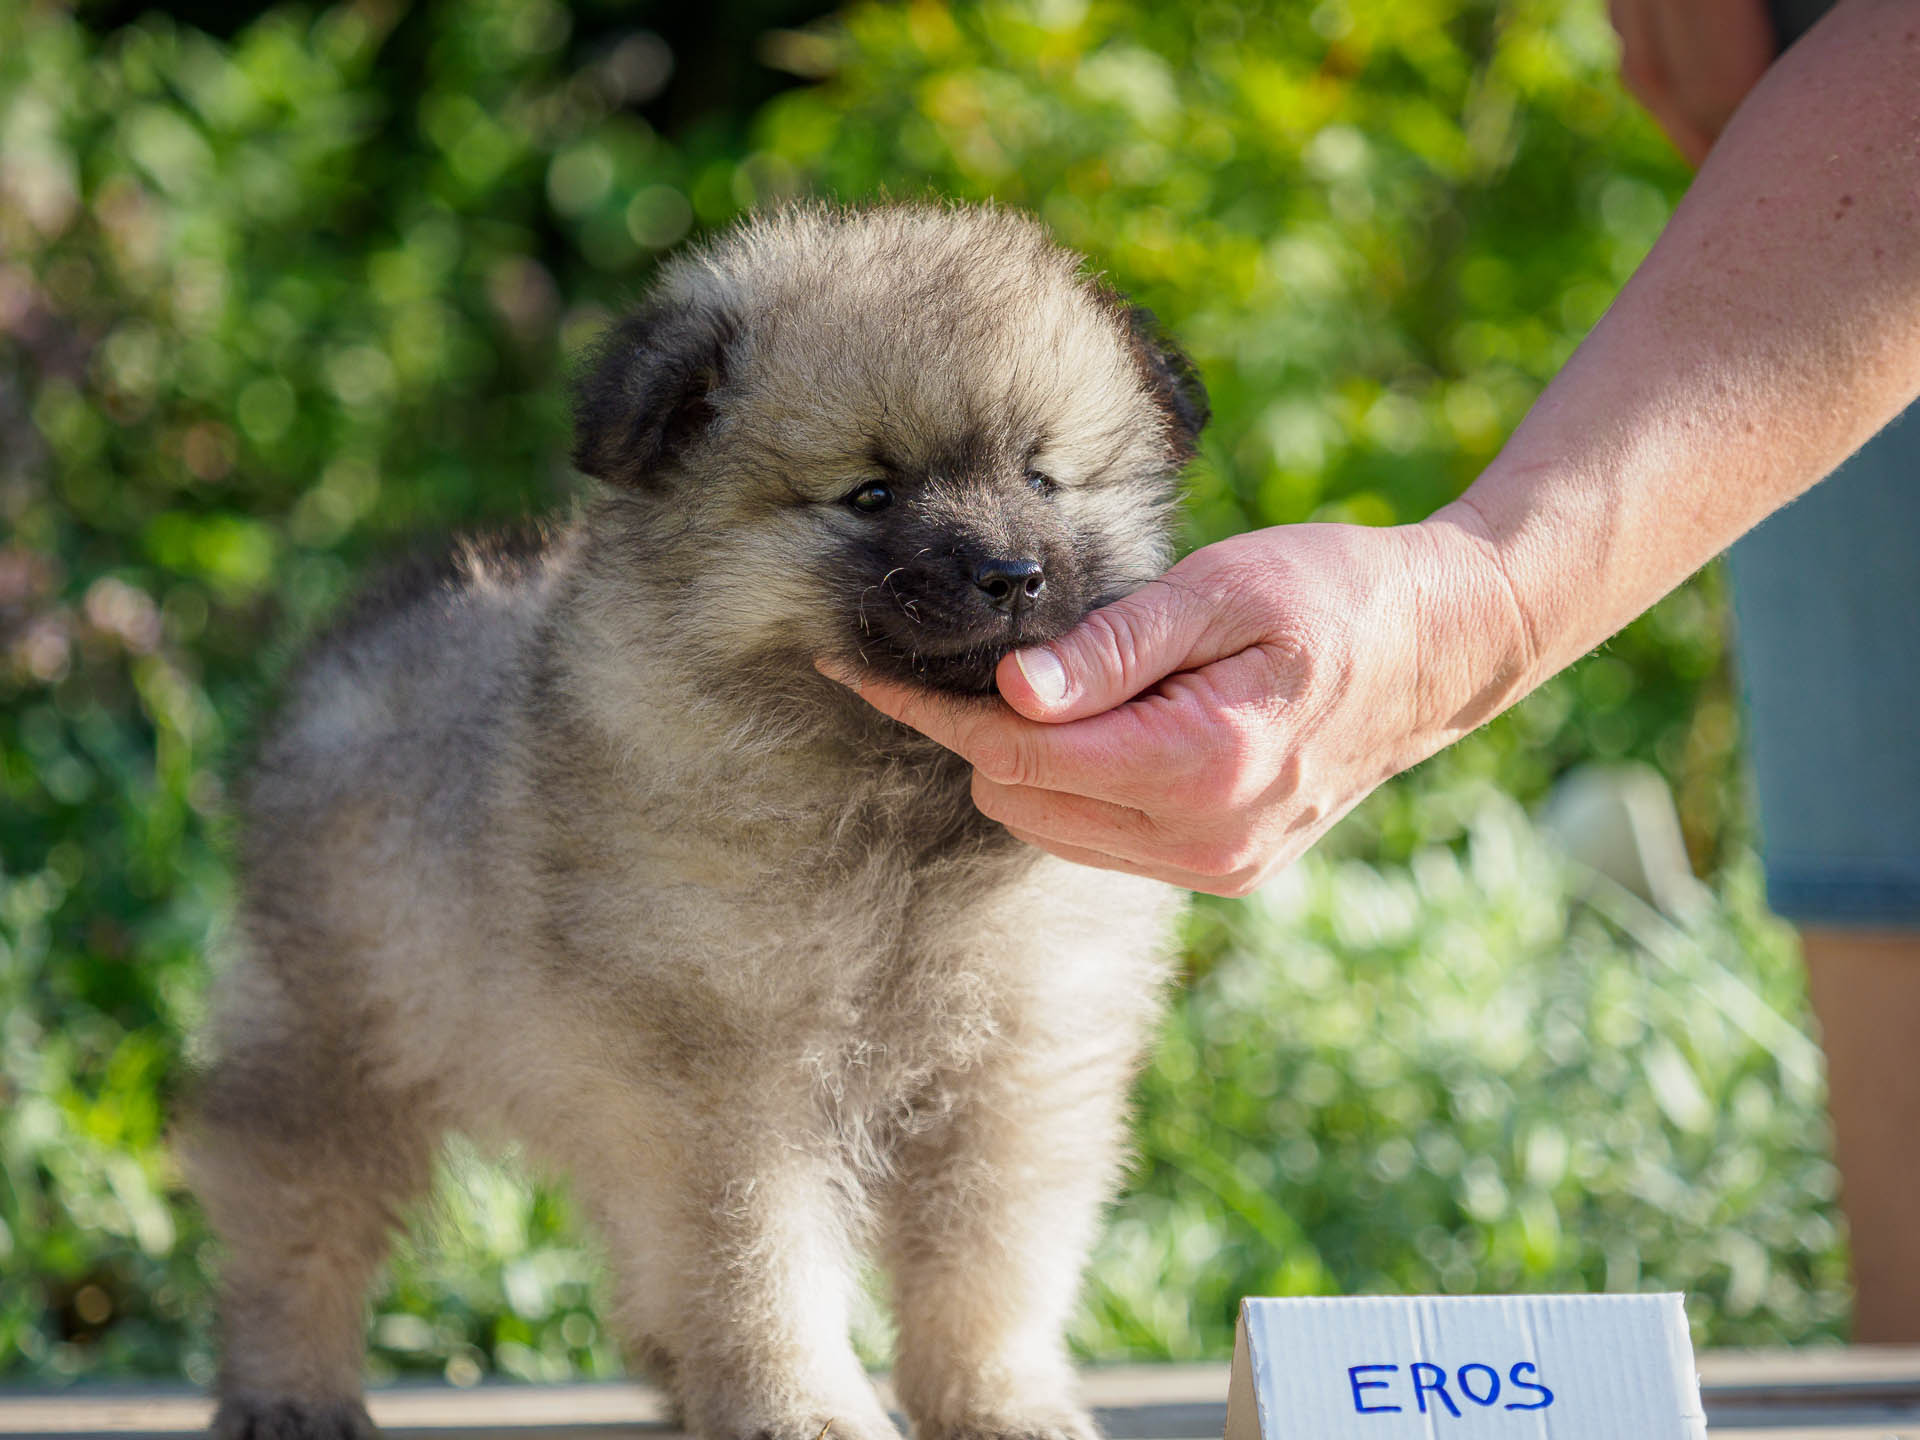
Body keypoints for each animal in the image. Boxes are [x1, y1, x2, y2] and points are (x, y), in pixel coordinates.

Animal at [191, 203, 1213, 1440]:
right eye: (871, 494)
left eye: (1042, 476)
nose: (1011, 574)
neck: (897, 807)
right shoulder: (721, 1084)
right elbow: (757, 1266)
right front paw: (802, 1411)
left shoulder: (1016, 1072)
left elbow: (989, 1265)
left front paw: (999, 1402)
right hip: (337, 1035)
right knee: (291, 1219)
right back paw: (286, 1388)